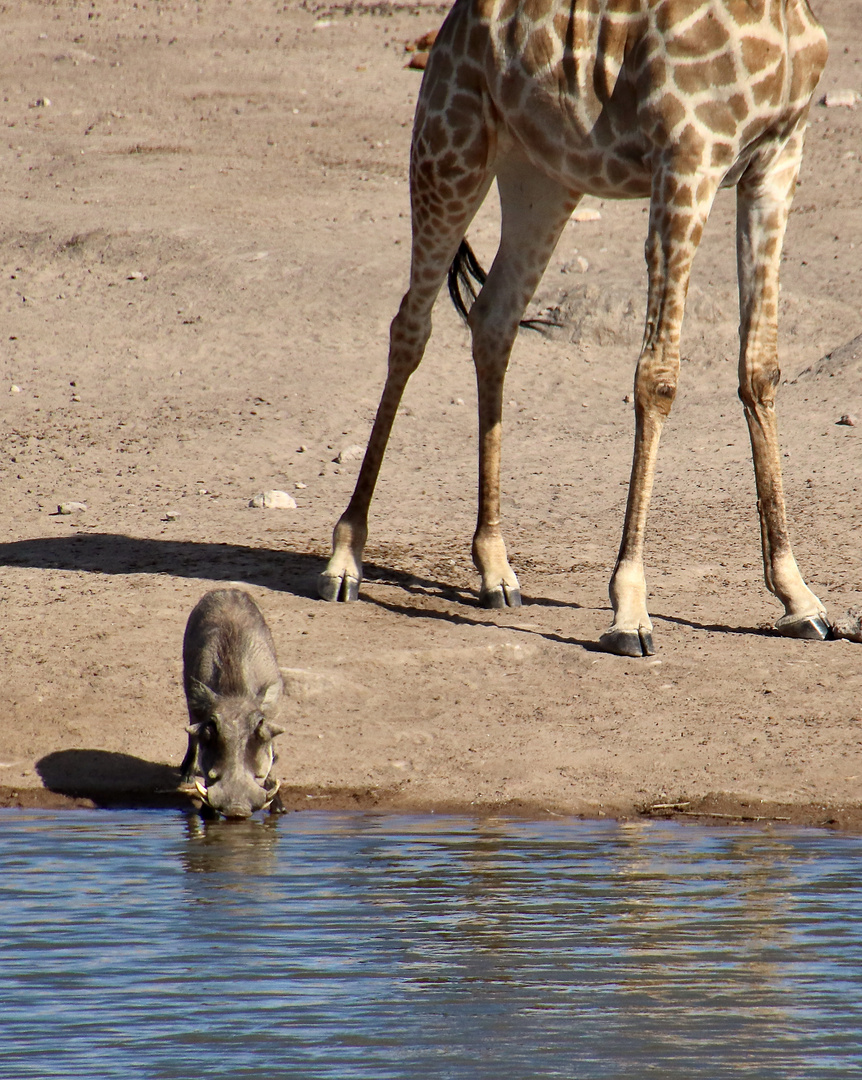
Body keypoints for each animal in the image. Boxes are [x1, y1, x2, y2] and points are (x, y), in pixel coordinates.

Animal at [317, 0, 829, 656]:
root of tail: (454, 22)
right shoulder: (686, 158)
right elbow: (658, 375)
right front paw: (630, 610)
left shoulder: (777, 158)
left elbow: (760, 368)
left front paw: (798, 597)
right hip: (449, 142)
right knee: (411, 325)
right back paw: (344, 559)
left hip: (542, 176)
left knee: (494, 317)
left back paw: (495, 570)